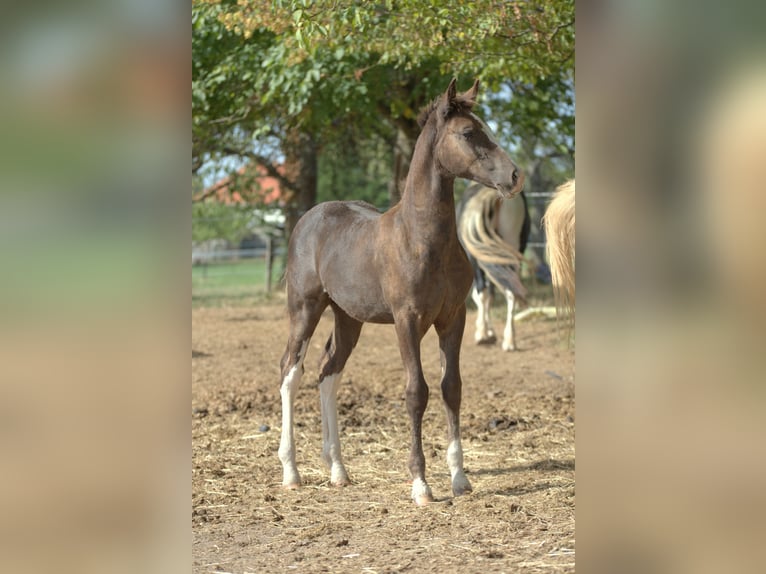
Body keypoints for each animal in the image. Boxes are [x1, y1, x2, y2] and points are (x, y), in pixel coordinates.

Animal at [457, 184, 531, 351]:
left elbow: (480, 295)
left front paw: (485, 331)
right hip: (510, 252)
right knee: (512, 291)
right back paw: (509, 341)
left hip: (478, 258)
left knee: (482, 291)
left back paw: (483, 336)